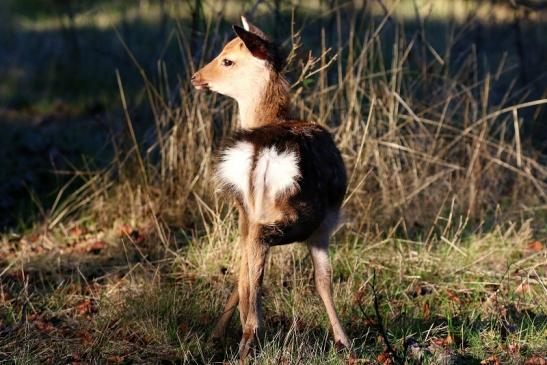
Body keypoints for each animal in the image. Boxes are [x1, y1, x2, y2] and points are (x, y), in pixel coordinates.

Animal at [191, 16, 348, 358]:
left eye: (227, 59)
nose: (196, 77)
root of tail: (261, 150)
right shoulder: (325, 226)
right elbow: (324, 280)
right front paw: (344, 341)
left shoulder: (244, 213)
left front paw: (215, 335)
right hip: (299, 212)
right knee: (260, 256)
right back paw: (251, 333)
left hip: (248, 210)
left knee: (247, 269)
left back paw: (241, 333)